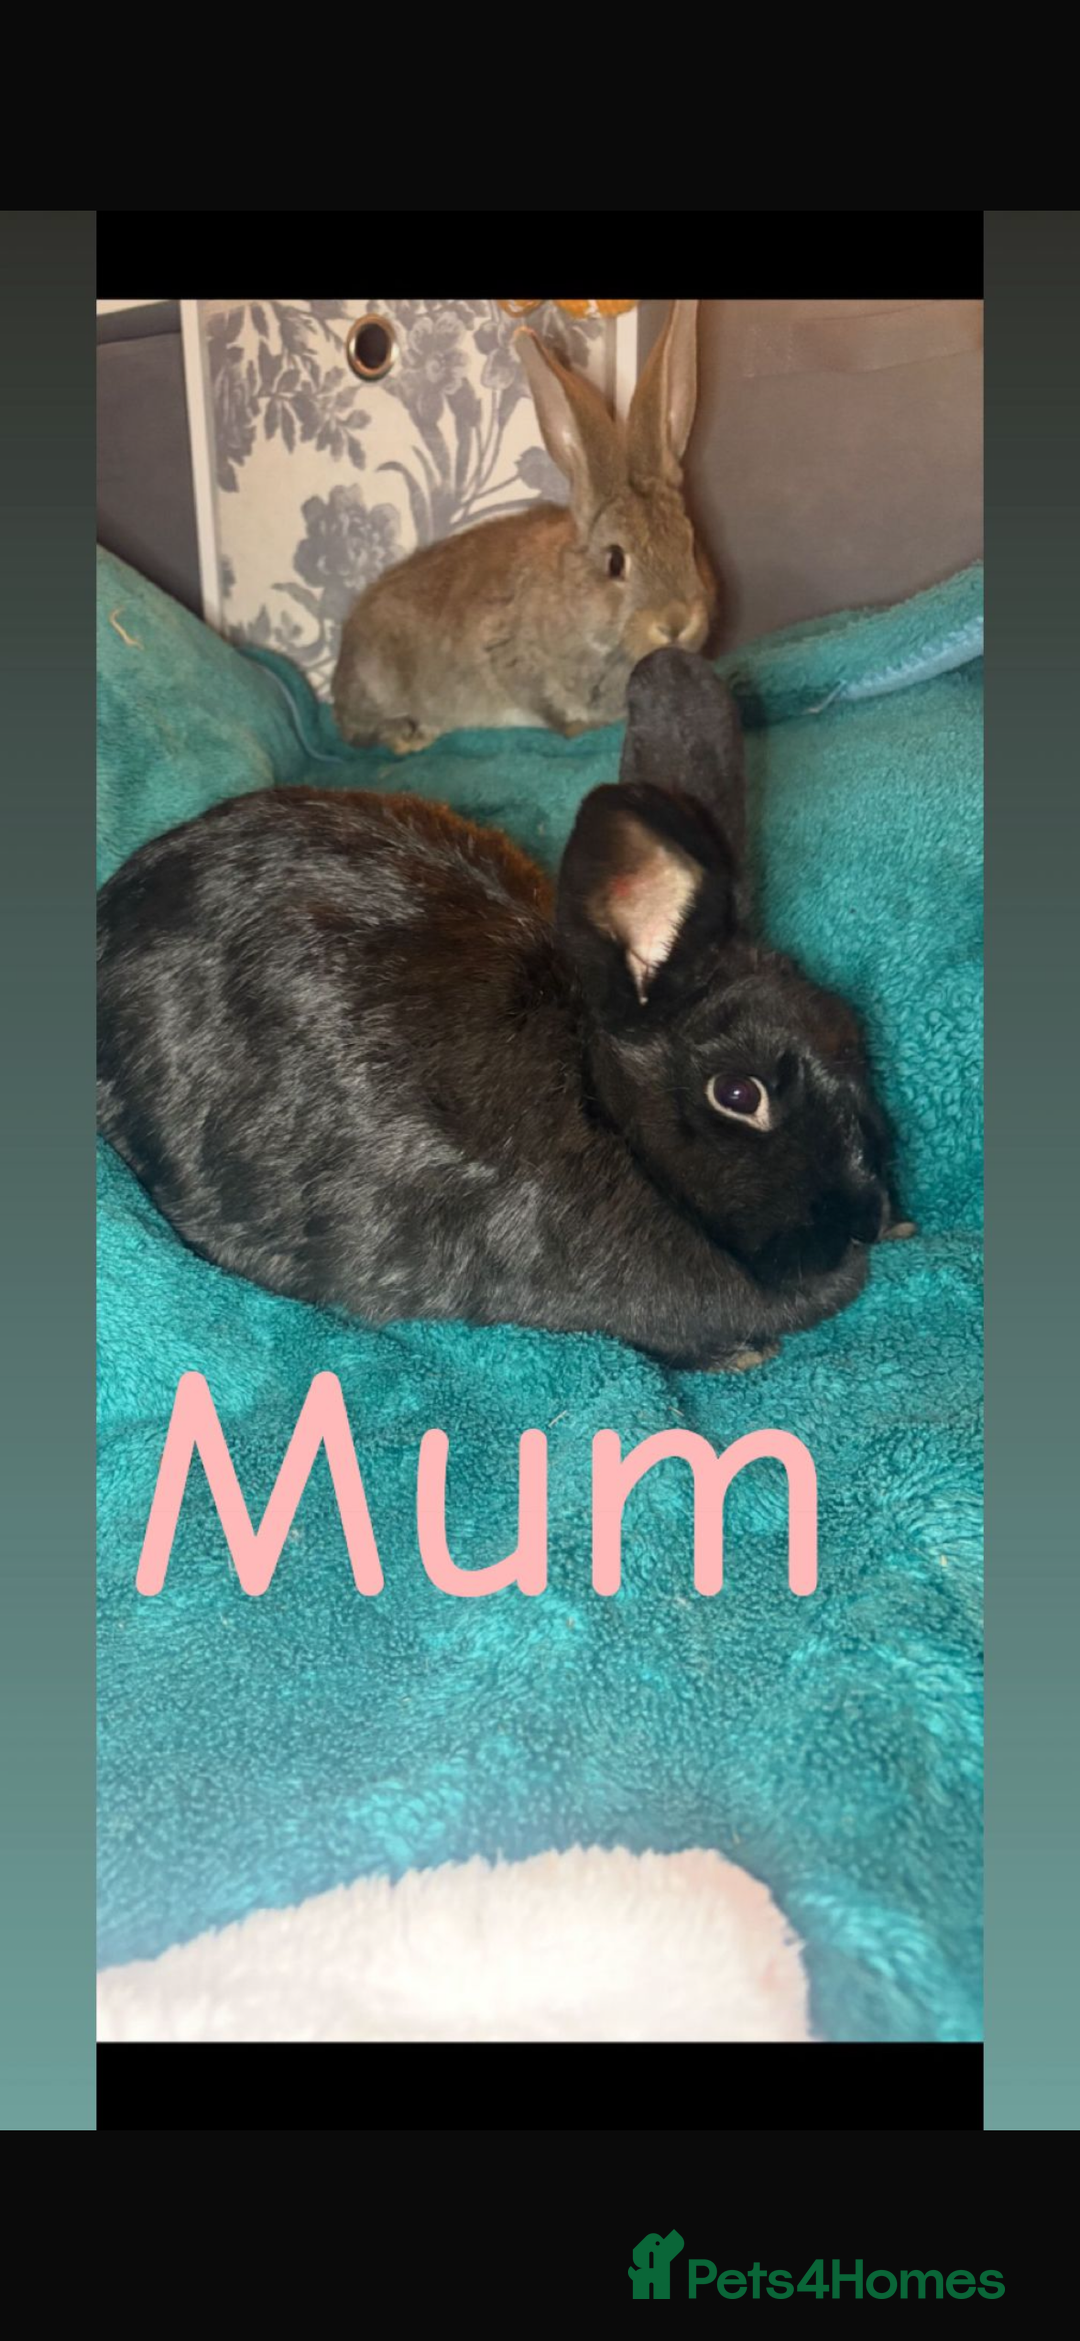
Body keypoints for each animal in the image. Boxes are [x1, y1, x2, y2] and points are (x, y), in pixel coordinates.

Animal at [331, 301, 718, 757]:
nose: (675, 622)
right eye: (615, 562)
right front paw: (584, 728)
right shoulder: (508, 661)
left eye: (692, 546)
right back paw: (411, 737)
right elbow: (551, 711)